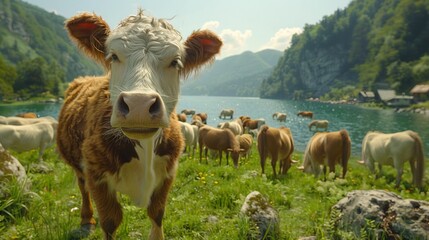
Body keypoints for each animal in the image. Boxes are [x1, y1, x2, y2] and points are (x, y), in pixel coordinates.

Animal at [56, 9, 221, 240]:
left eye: (175, 62)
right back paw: (86, 218)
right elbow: (110, 221)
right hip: (77, 165)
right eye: (114, 56)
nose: (139, 104)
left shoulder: (168, 173)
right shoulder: (95, 174)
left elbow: (157, 213)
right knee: (82, 187)